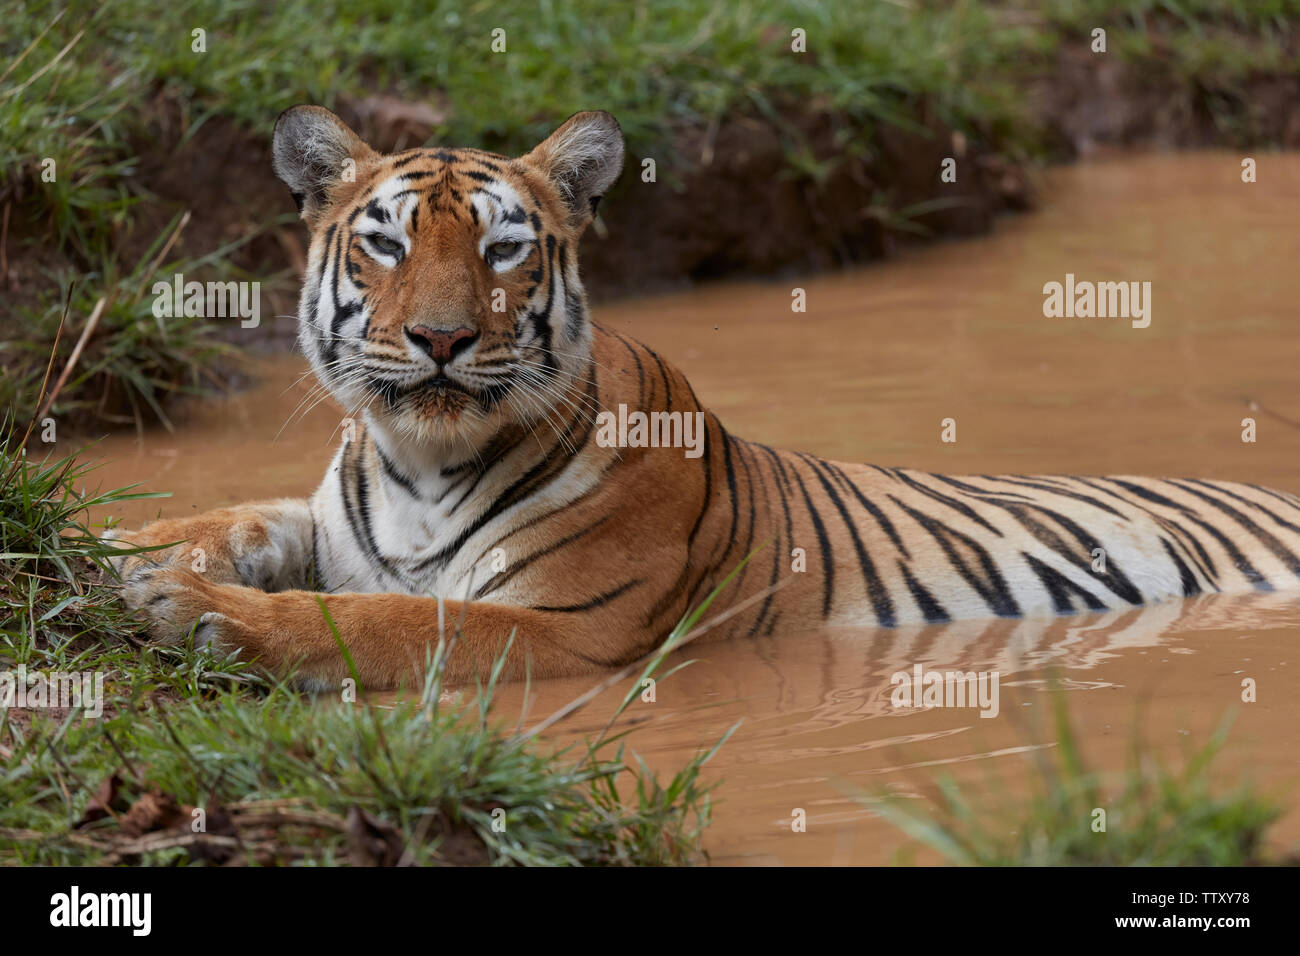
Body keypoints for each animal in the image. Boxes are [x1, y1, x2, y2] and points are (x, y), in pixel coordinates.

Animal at [111, 102, 1300, 686]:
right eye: (386, 243)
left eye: (503, 249)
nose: (442, 338)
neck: (419, 462)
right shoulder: (328, 523)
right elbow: (238, 515)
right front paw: (118, 544)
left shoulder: (569, 628)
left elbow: (388, 620)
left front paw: (201, 613)